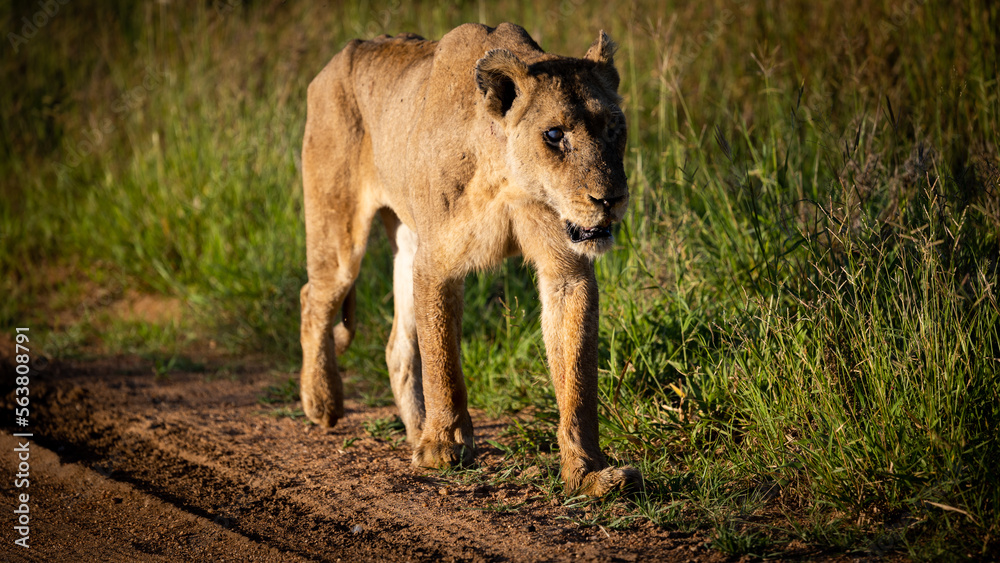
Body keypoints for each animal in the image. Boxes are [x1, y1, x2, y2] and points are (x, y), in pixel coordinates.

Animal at [299, 22, 640, 496]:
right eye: (555, 135)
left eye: (613, 127)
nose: (610, 200)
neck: (510, 180)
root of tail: (334, 61)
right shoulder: (437, 262)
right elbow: (443, 361)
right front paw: (444, 447)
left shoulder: (566, 270)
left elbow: (576, 375)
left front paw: (588, 472)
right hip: (340, 233)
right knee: (312, 298)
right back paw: (323, 401)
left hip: (406, 242)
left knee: (396, 346)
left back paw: (414, 430)